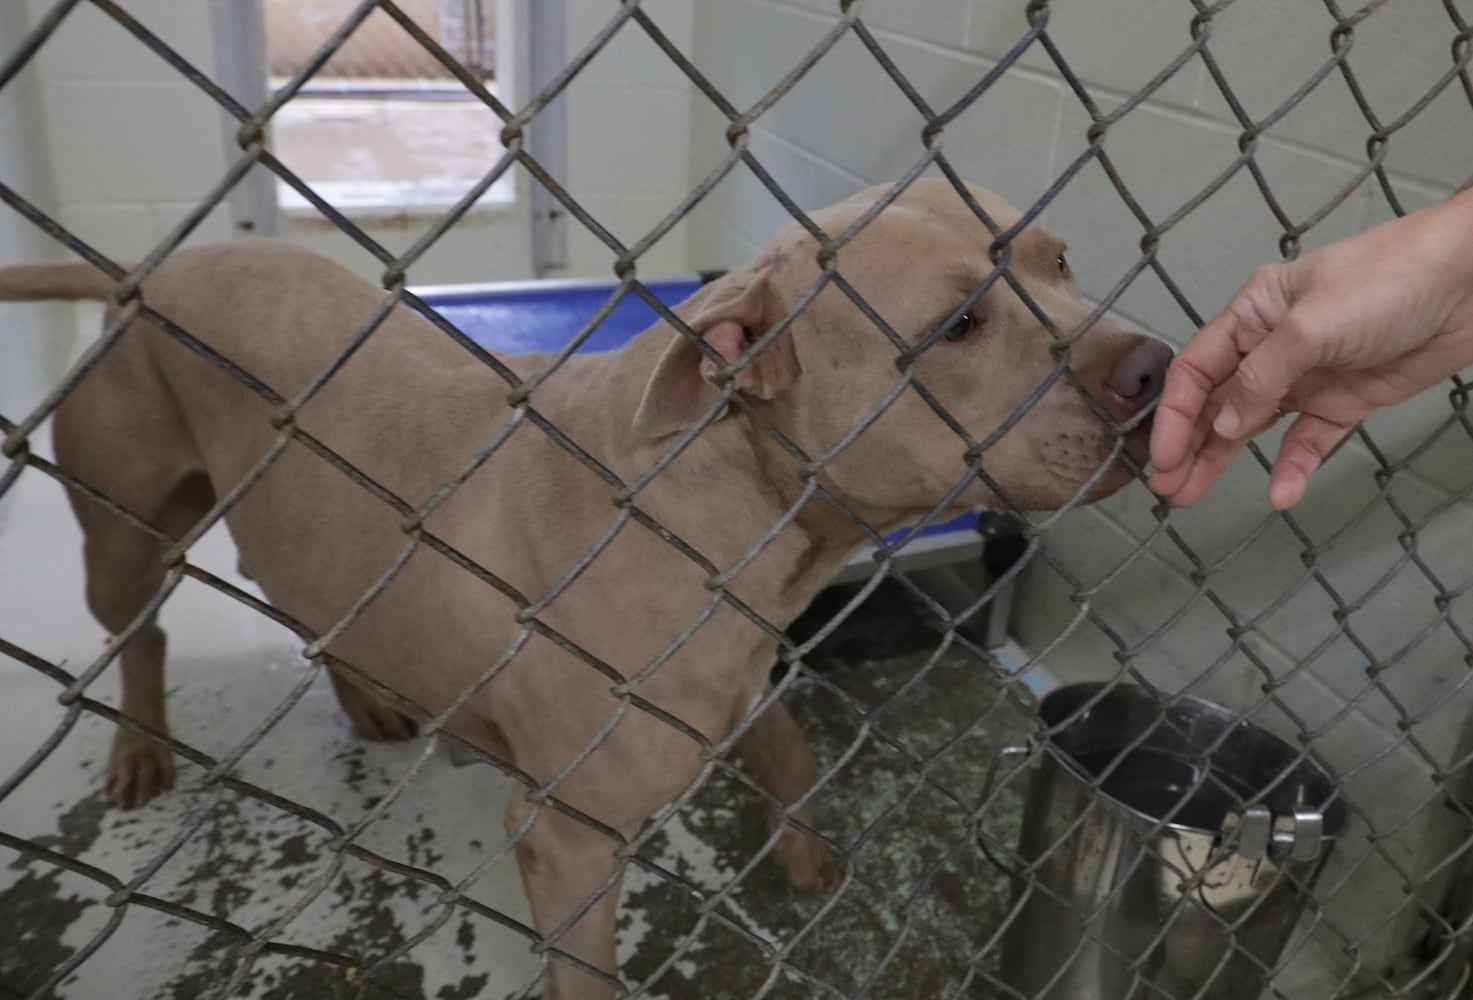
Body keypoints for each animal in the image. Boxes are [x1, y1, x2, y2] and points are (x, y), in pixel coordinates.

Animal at [2, 178, 1172, 995]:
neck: (727, 501)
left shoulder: (737, 679)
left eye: (1061, 259)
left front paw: (803, 853)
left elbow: (790, 751)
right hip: (121, 535)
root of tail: (146, 270)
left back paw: (362, 696)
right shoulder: (568, 837)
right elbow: (588, 971)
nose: (1157, 368)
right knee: (139, 632)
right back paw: (141, 744)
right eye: (960, 323)